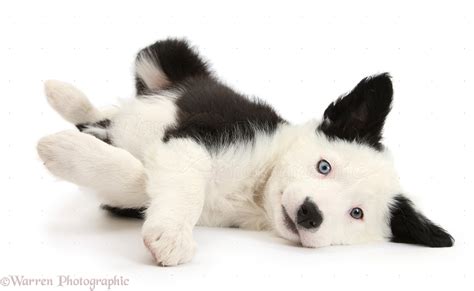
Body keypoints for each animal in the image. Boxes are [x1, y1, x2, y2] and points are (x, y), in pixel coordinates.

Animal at [36, 38, 452, 266]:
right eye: (324, 167)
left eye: (356, 213)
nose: (310, 213)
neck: (254, 193)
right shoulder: (204, 132)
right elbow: (188, 175)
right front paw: (172, 234)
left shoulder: (147, 186)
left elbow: (138, 179)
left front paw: (72, 153)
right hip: (165, 55)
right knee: (115, 101)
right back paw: (65, 96)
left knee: (104, 120)